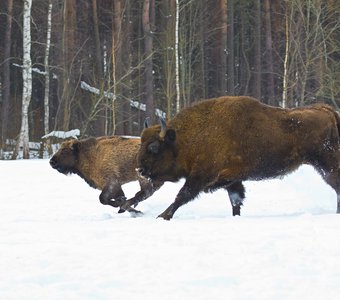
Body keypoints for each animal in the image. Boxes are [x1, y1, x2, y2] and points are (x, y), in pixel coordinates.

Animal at [135, 96, 340, 220]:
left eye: (154, 147)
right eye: (141, 142)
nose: (139, 170)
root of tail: (327, 110)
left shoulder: (202, 175)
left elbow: (183, 195)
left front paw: (163, 216)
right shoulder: (232, 179)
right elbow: (236, 200)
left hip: (327, 165)